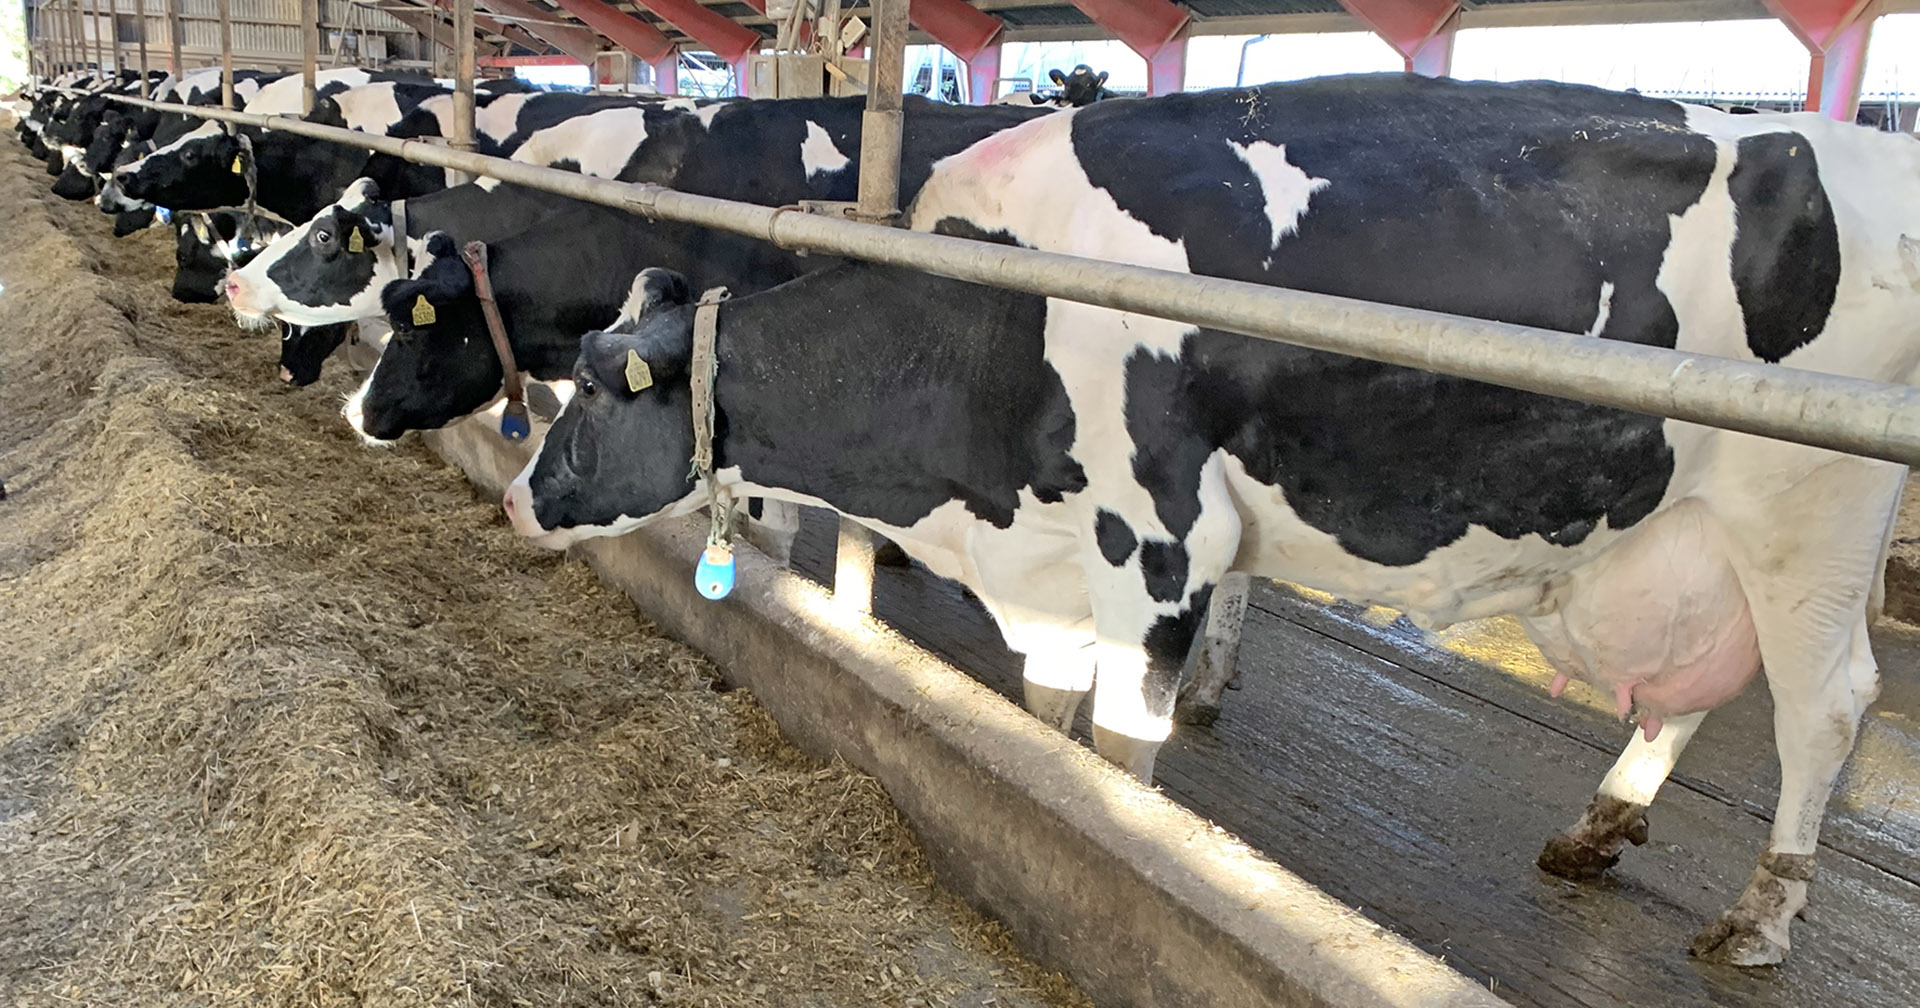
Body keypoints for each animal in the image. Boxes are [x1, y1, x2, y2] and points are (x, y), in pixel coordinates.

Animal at [499, 74, 1920, 963]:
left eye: (591, 396)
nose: (515, 494)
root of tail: (1866, 145)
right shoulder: (1051, 564)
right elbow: (1050, 721)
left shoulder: (1165, 548)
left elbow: (1125, 749)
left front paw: (1122, 850)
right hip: (1676, 527)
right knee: (1687, 687)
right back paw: (1599, 825)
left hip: (1813, 507)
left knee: (1825, 702)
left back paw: (1758, 922)